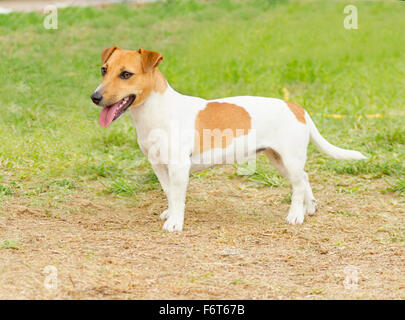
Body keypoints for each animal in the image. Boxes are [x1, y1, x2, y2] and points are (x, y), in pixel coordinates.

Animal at [90, 46, 366, 231]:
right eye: (104, 70)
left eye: (126, 74)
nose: (95, 97)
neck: (156, 112)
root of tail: (297, 107)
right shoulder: (159, 165)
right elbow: (169, 192)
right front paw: (170, 212)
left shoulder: (179, 167)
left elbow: (178, 195)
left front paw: (175, 222)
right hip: (280, 161)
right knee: (305, 179)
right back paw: (309, 208)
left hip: (289, 159)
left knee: (298, 186)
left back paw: (295, 215)